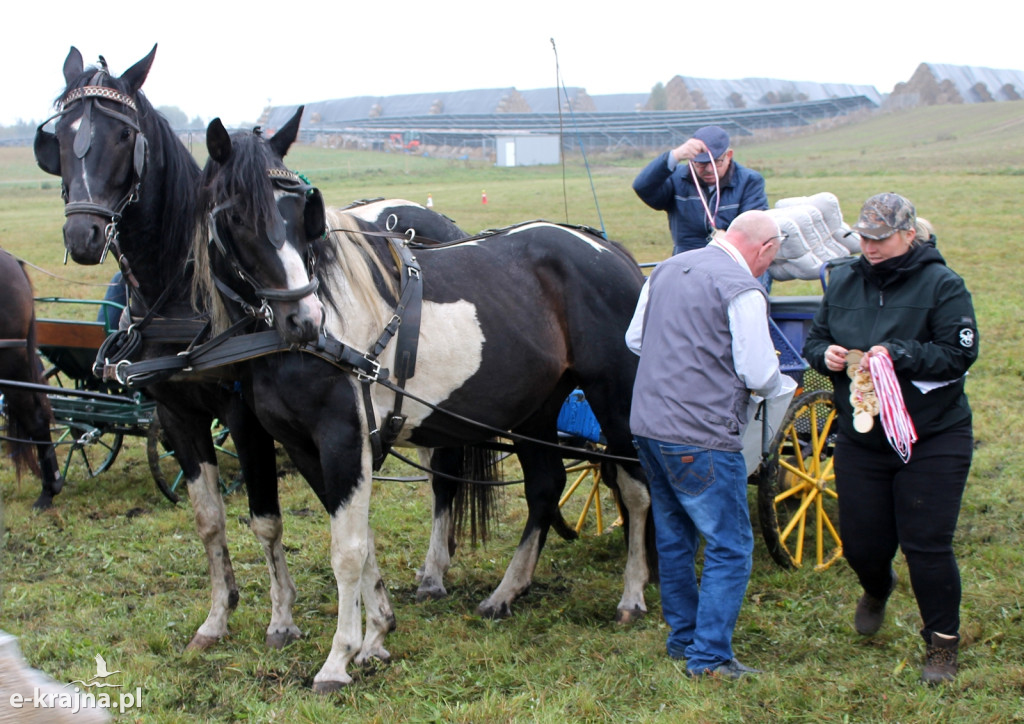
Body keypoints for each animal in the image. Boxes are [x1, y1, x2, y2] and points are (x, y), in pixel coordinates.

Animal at [33, 48, 303, 655]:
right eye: (60, 135)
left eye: (122, 136)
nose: (83, 235)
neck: (184, 291)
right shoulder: (175, 414)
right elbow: (209, 519)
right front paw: (218, 615)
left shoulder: (242, 414)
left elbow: (264, 519)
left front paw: (280, 617)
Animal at [194, 113, 651, 692]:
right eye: (236, 218)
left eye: (302, 214)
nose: (305, 319)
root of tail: (608, 251)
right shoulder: (304, 448)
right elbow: (361, 541)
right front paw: (376, 636)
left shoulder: (345, 440)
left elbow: (347, 550)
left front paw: (340, 657)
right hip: (538, 408)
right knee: (546, 487)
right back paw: (507, 591)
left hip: (614, 395)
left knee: (635, 490)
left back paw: (632, 594)